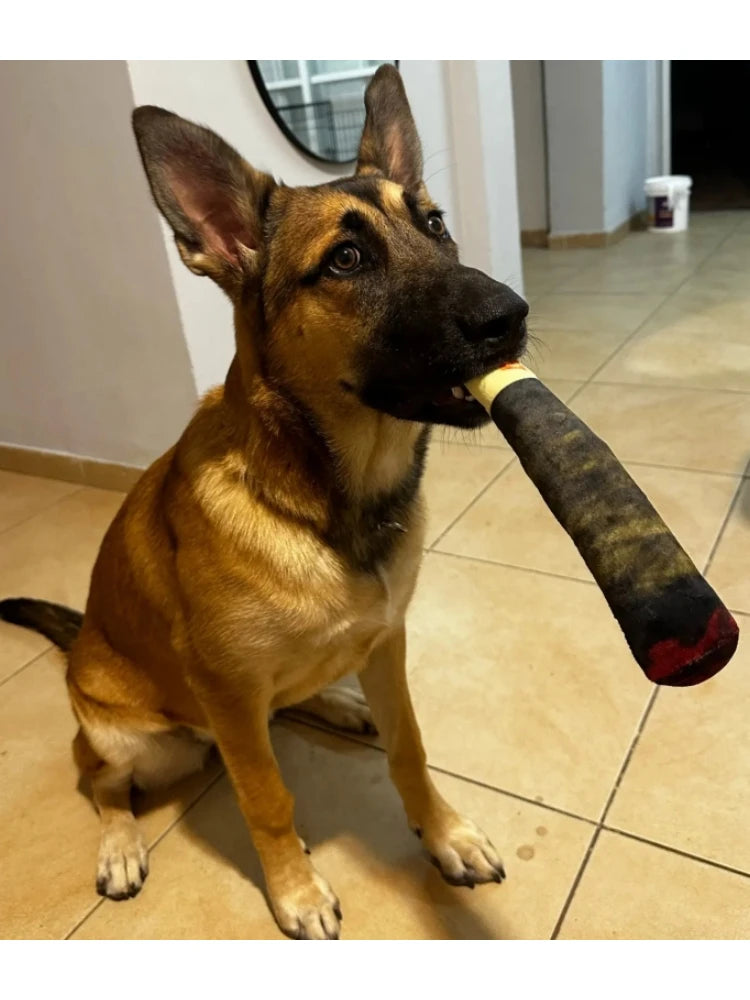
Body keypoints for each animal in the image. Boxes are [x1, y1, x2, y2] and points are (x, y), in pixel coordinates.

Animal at [0, 66, 528, 940]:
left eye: (436, 224)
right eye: (346, 259)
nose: (512, 316)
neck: (324, 501)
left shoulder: (387, 645)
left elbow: (408, 747)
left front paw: (443, 832)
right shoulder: (228, 692)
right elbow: (267, 798)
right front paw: (296, 889)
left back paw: (339, 704)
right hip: (141, 740)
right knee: (101, 780)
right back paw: (120, 846)